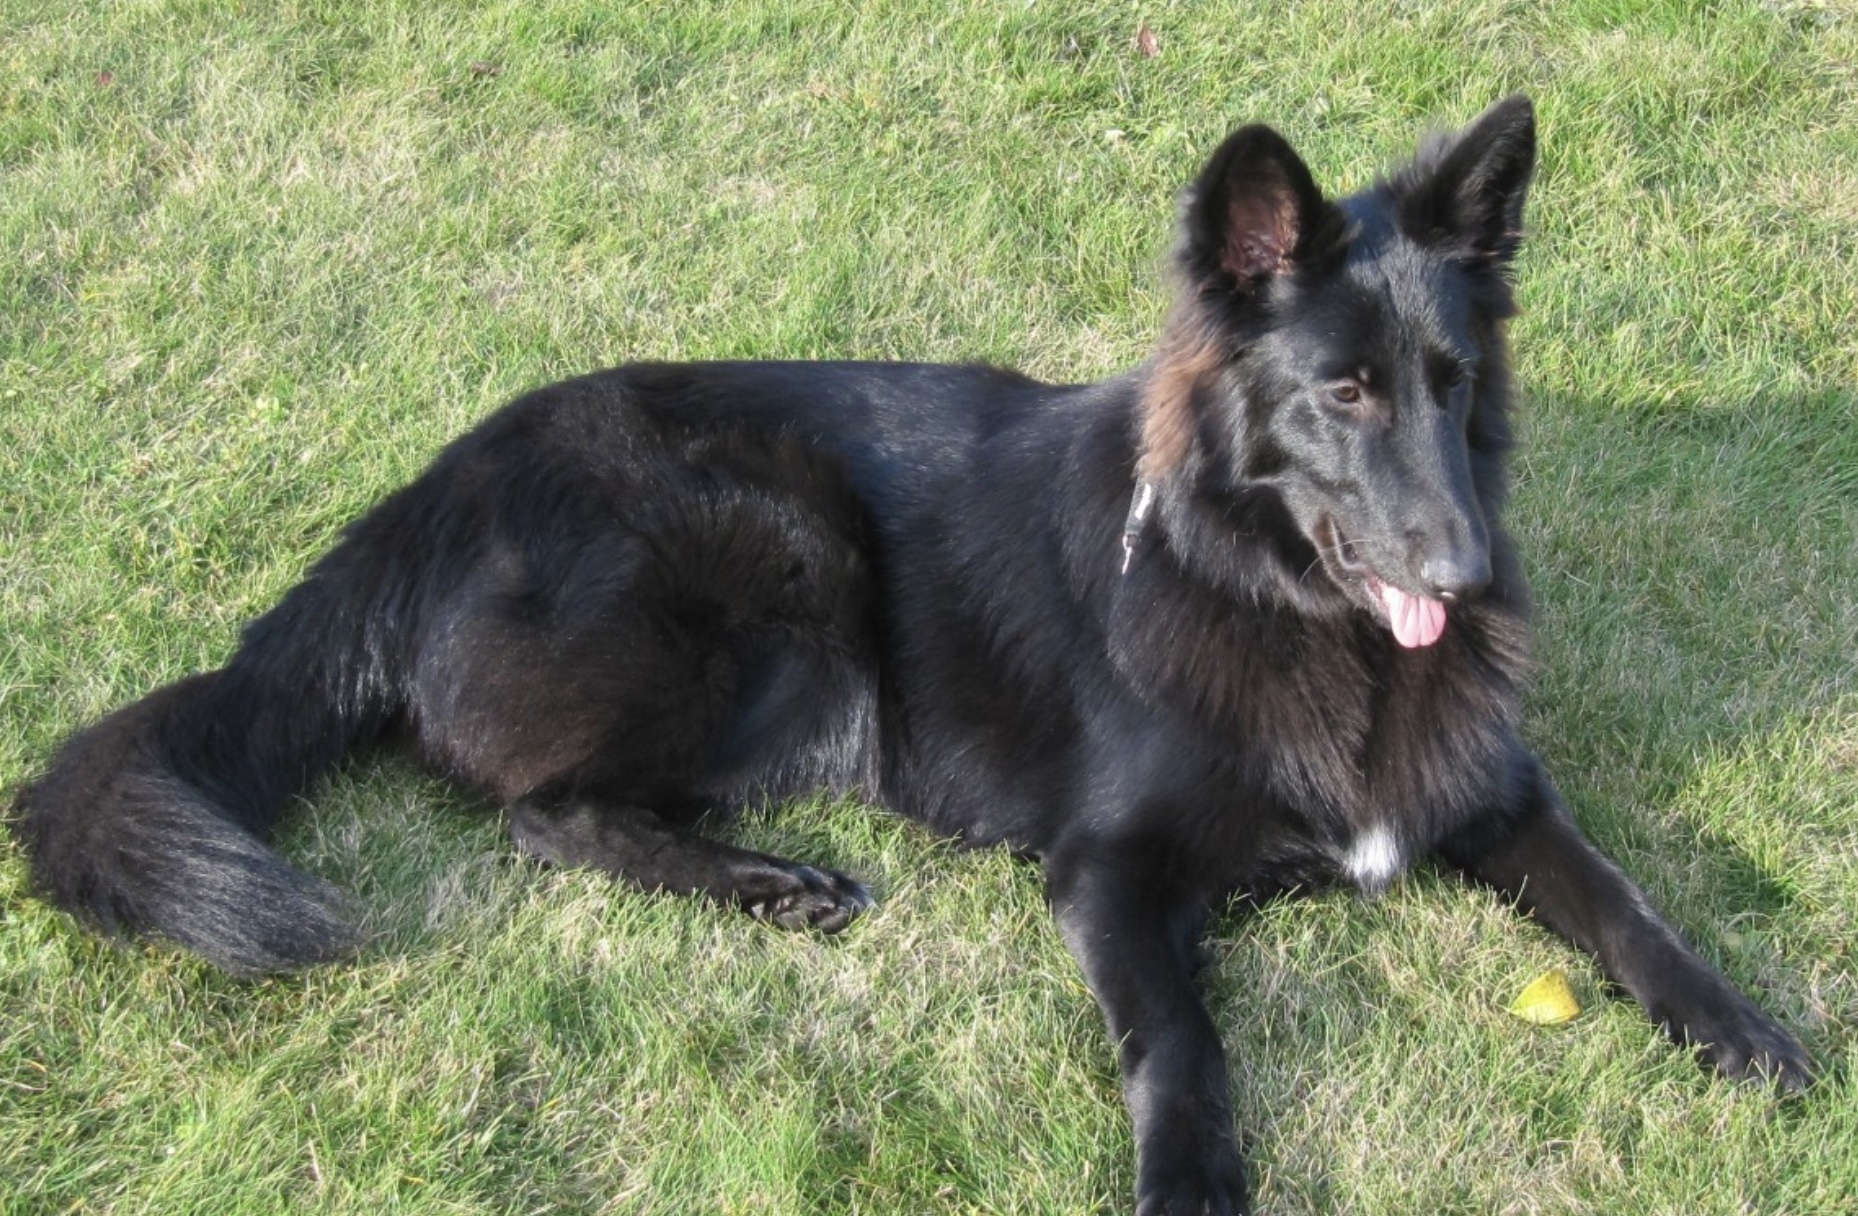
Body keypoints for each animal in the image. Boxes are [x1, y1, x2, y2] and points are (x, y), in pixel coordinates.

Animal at [10, 99, 1813, 1212]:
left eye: (1448, 383)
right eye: (1342, 392)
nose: (1464, 567)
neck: (1281, 606)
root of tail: (432, 485)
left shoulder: (1494, 794)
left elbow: (1621, 896)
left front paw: (1731, 1017)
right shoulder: (1106, 870)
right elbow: (1182, 1036)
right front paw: (1189, 1174)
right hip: (782, 556)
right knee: (531, 806)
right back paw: (764, 881)